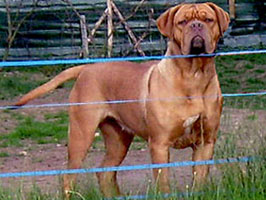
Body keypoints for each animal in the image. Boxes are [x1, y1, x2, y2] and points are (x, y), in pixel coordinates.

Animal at [14, 2, 230, 198]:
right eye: (182, 22)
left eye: (208, 20)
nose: (196, 26)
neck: (194, 75)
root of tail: (86, 68)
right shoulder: (159, 144)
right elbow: (164, 183)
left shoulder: (205, 142)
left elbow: (199, 180)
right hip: (81, 134)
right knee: (69, 176)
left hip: (118, 139)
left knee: (105, 172)